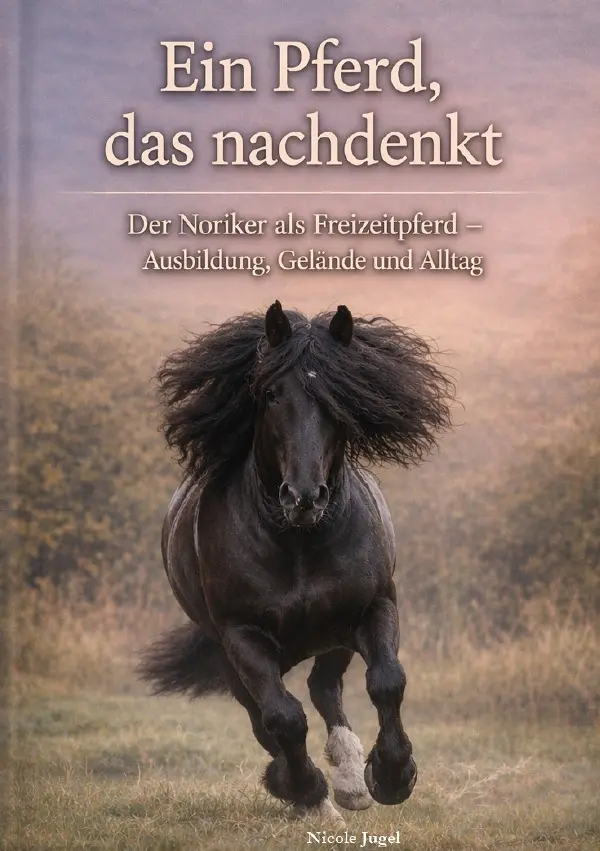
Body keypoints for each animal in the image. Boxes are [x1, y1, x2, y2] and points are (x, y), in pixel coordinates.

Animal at [139, 300, 453, 822]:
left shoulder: (374, 606)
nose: (303, 497)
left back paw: (352, 782)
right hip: (234, 654)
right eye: (270, 394)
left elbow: (387, 681)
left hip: (333, 636)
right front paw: (305, 791)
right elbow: (282, 718)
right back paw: (318, 796)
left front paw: (392, 777)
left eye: (340, 396)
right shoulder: (241, 635)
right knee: (267, 717)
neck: (300, 544)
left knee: (325, 687)